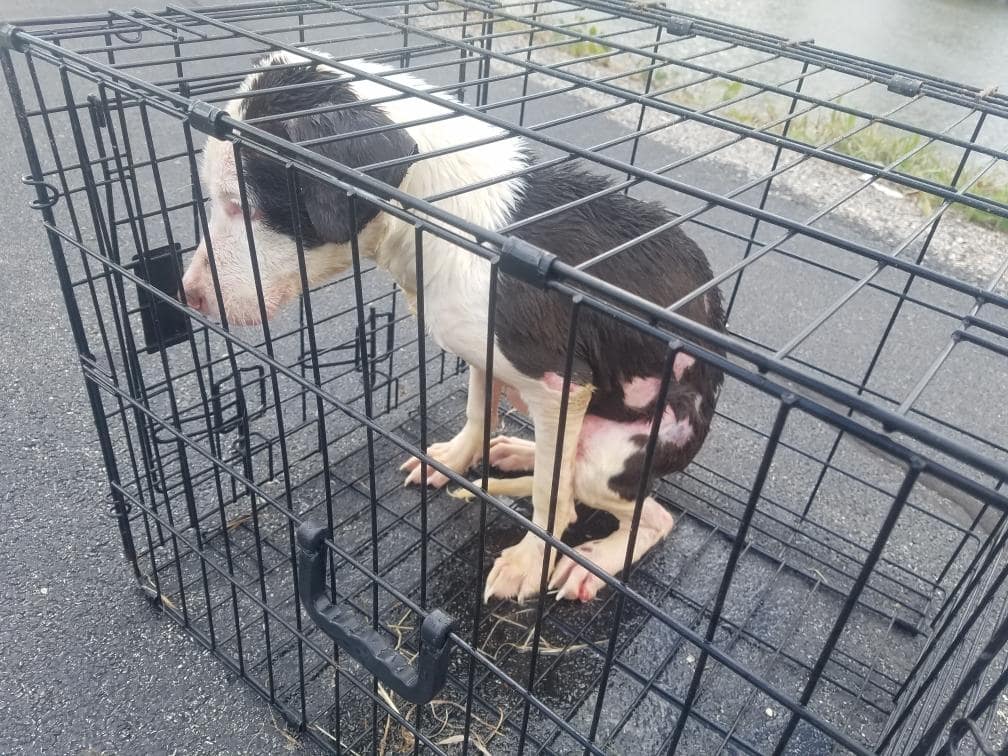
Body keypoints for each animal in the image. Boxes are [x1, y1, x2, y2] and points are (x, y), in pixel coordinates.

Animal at [183, 51, 725, 604]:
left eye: (243, 205)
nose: (188, 293)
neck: (435, 215)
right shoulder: (484, 355)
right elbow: (477, 414)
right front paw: (455, 462)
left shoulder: (560, 384)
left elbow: (552, 498)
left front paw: (529, 563)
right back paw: (515, 451)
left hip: (613, 453)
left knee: (642, 512)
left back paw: (590, 564)